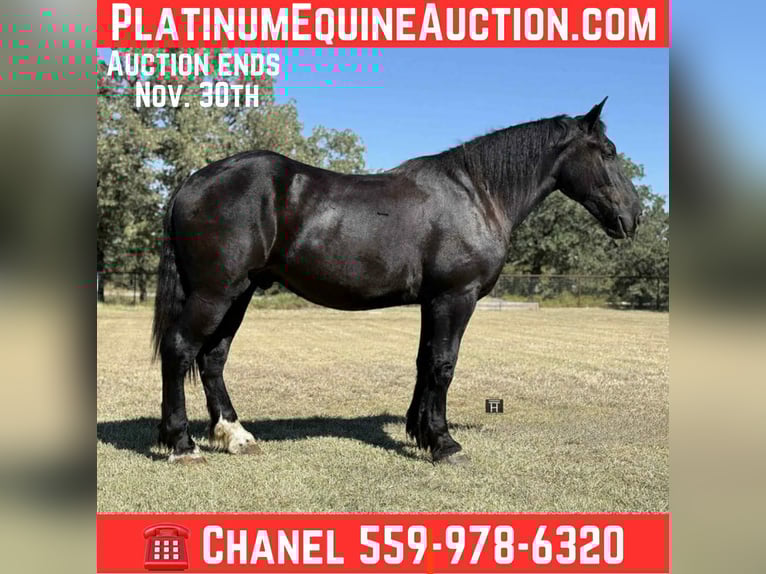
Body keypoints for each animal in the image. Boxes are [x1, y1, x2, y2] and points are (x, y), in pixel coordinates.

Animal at [151, 98, 641, 465]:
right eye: (609, 151)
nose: (634, 217)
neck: (476, 193)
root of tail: (193, 181)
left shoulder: (433, 301)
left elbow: (425, 363)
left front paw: (420, 431)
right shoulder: (455, 297)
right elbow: (443, 365)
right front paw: (445, 444)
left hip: (240, 293)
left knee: (213, 358)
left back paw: (234, 435)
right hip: (216, 292)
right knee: (181, 349)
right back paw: (182, 444)